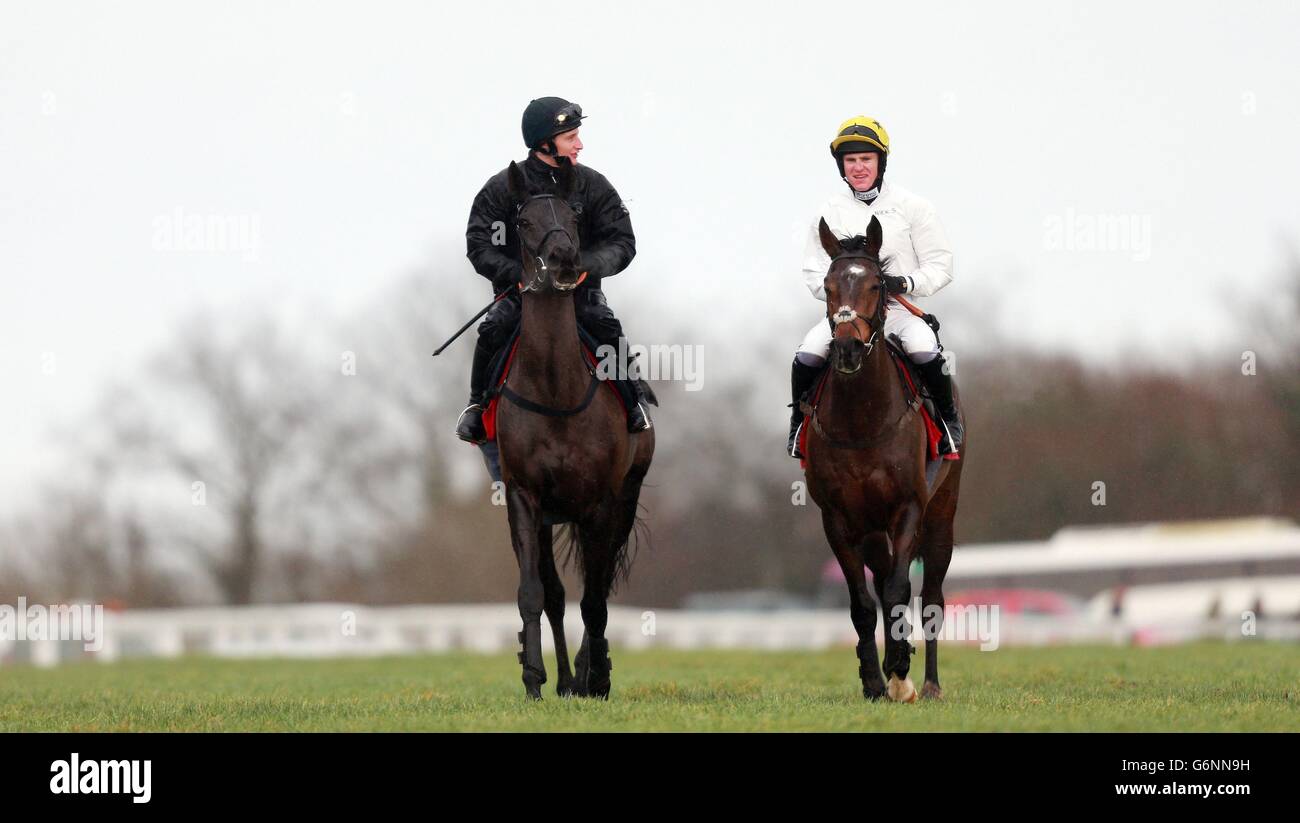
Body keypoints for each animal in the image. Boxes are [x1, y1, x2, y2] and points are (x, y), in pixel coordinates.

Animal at [491, 161, 655, 702]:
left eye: (573, 216)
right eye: (522, 221)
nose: (564, 260)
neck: (555, 390)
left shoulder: (600, 501)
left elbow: (596, 598)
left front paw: (596, 675)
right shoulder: (524, 497)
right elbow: (536, 593)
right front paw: (535, 677)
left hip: (623, 498)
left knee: (596, 589)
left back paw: (589, 672)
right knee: (560, 594)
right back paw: (566, 678)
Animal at [800, 213, 967, 702]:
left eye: (876, 284)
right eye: (828, 284)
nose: (847, 349)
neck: (862, 421)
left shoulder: (908, 506)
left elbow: (897, 589)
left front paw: (898, 667)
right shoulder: (837, 517)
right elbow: (863, 602)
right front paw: (875, 680)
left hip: (941, 516)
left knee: (930, 598)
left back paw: (927, 684)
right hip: (871, 528)